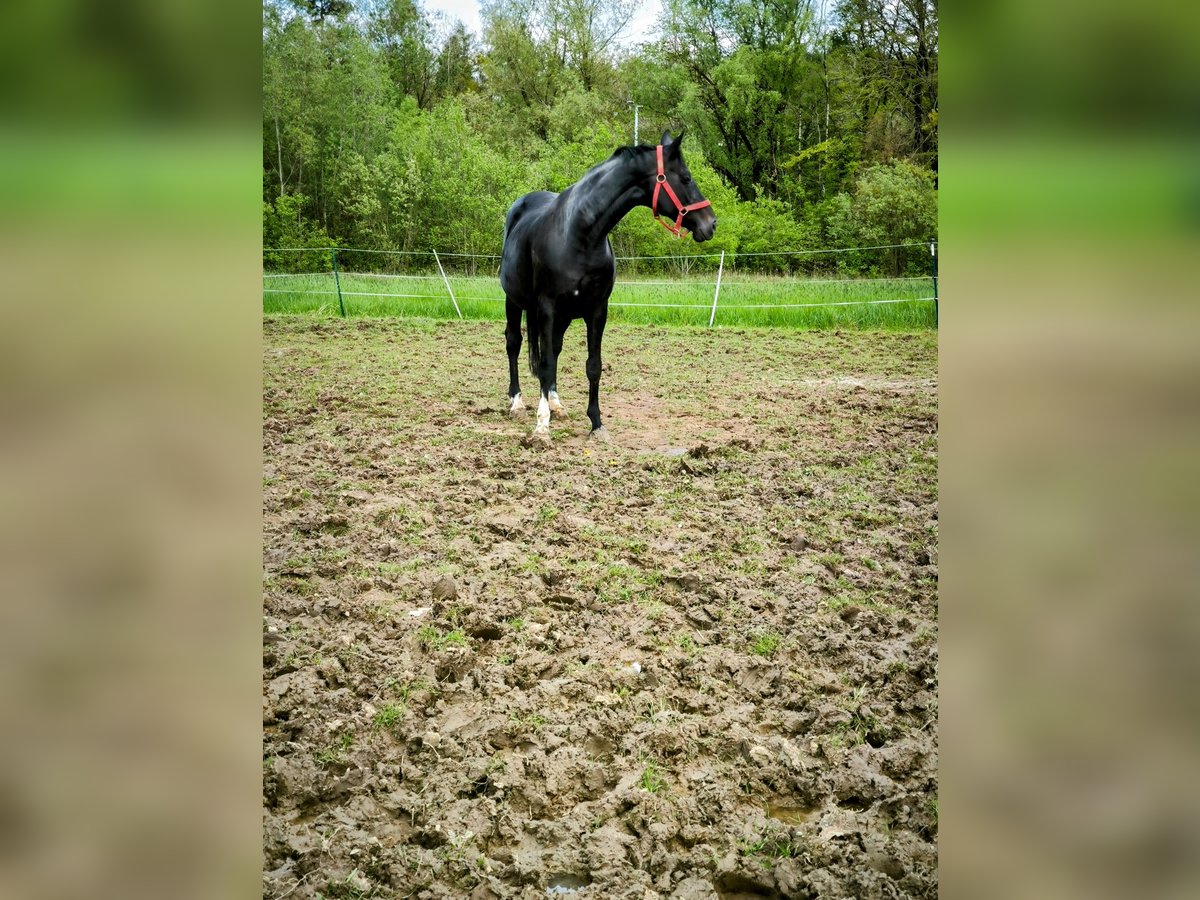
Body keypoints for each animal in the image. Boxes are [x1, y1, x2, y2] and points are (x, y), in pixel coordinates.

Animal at [496, 130, 710, 448]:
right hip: (514, 301)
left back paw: (556, 404)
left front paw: (596, 424)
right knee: (514, 343)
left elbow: (592, 365)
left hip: (563, 316)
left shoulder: (597, 310)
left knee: (554, 350)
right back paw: (517, 403)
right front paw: (541, 428)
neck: (580, 234)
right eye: (685, 177)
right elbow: (544, 364)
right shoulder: (547, 308)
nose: (711, 223)